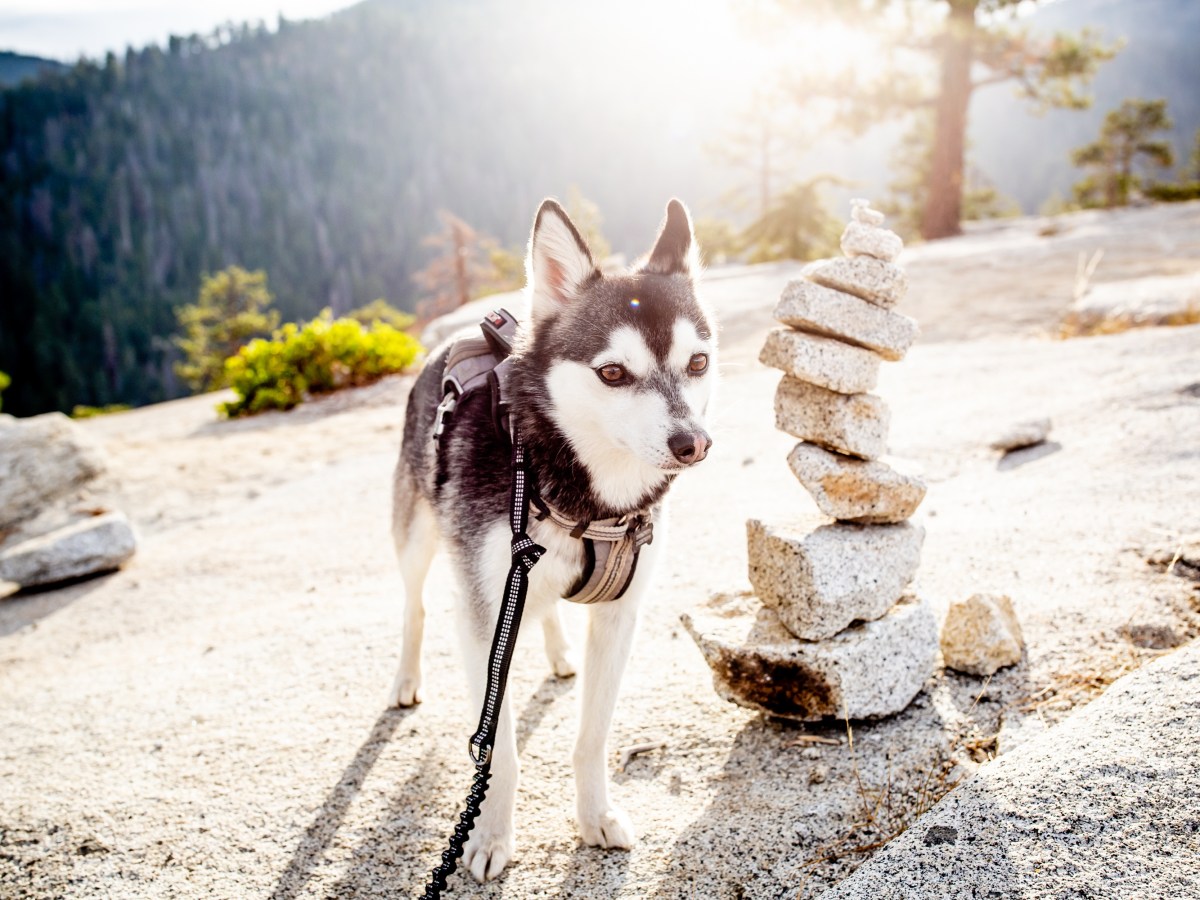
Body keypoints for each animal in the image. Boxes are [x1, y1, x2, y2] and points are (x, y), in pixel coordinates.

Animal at [388, 196, 715, 883]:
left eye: (697, 362)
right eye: (612, 372)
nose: (693, 443)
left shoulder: (620, 615)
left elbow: (592, 737)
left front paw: (595, 817)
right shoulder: (483, 616)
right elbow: (499, 752)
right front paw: (489, 837)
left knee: (540, 609)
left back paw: (560, 651)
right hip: (415, 538)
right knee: (415, 603)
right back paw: (405, 678)